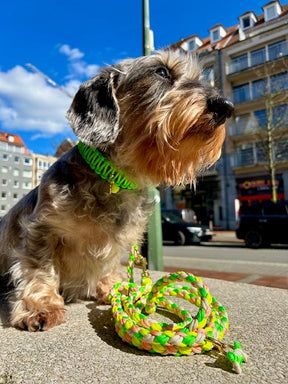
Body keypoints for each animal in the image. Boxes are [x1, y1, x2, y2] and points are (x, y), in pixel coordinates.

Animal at [0, 50, 234, 330]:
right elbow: (40, 269)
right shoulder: (41, 230)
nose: (226, 107)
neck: (116, 179)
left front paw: (113, 288)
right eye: (161, 72)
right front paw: (41, 306)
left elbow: (109, 266)